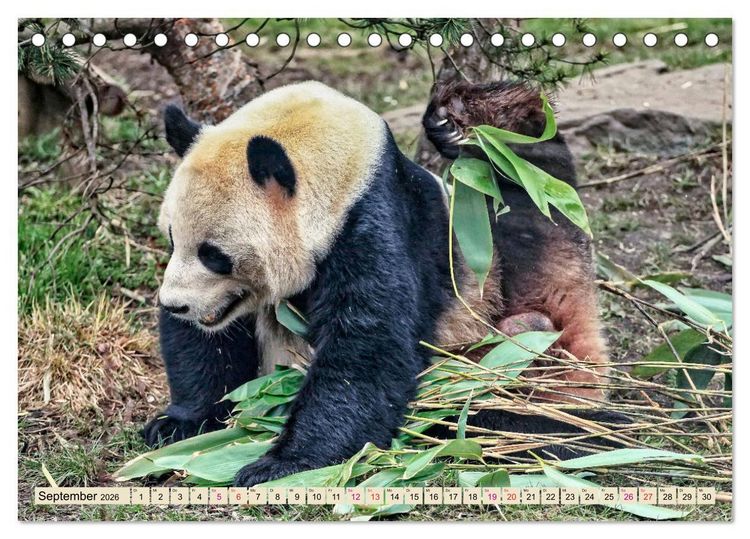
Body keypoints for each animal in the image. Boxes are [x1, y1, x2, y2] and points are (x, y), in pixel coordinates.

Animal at [145, 80, 621, 487]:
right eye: (172, 238)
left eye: (214, 255)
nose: (176, 305)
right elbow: (210, 347)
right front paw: (179, 423)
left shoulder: (372, 221)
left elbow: (368, 345)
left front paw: (282, 463)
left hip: (500, 337)